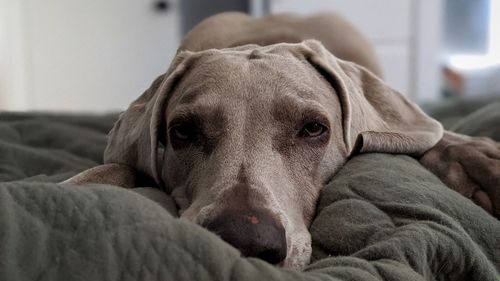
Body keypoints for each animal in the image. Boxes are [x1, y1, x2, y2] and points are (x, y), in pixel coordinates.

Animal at [64, 12, 498, 266]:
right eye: (182, 131)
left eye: (313, 129)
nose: (247, 242)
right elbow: (117, 164)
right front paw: (80, 185)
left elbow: (423, 132)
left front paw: (476, 158)